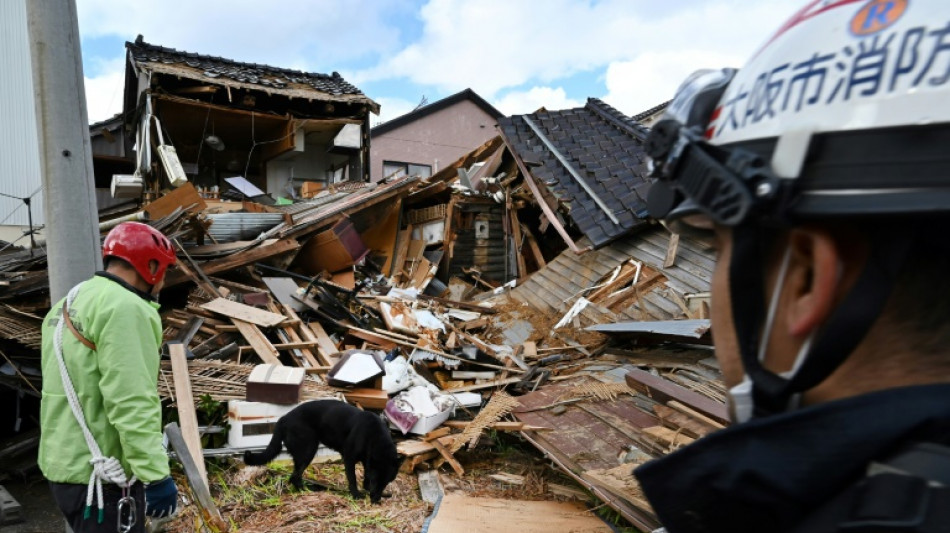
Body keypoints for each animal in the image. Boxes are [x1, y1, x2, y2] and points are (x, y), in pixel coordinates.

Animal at [244, 400, 404, 502]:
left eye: (387, 481)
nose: (376, 500)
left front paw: (370, 490)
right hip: (308, 450)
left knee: (295, 476)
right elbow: (353, 479)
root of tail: (283, 419)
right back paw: (308, 491)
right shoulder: (349, 458)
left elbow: (365, 477)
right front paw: (356, 495)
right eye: (377, 480)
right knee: (295, 477)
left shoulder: (367, 461)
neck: (375, 436)